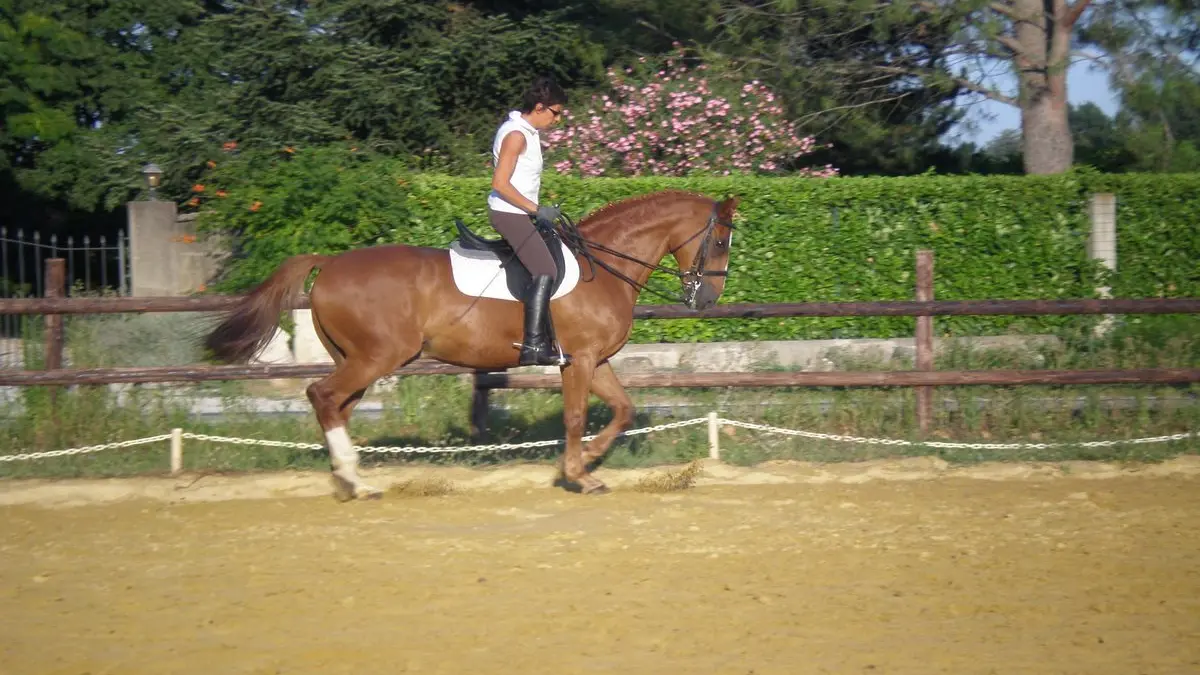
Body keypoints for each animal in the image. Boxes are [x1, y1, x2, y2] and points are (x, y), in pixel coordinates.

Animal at [201, 186, 734, 497]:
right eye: (721, 241)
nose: (707, 299)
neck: (600, 268)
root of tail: (330, 263)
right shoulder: (579, 360)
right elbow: (577, 417)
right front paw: (578, 474)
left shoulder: (593, 361)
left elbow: (623, 409)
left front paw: (586, 462)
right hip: (377, 357)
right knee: (323, 396)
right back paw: (355, 481)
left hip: (358, 358)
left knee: (337, 406)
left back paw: (352, 479)